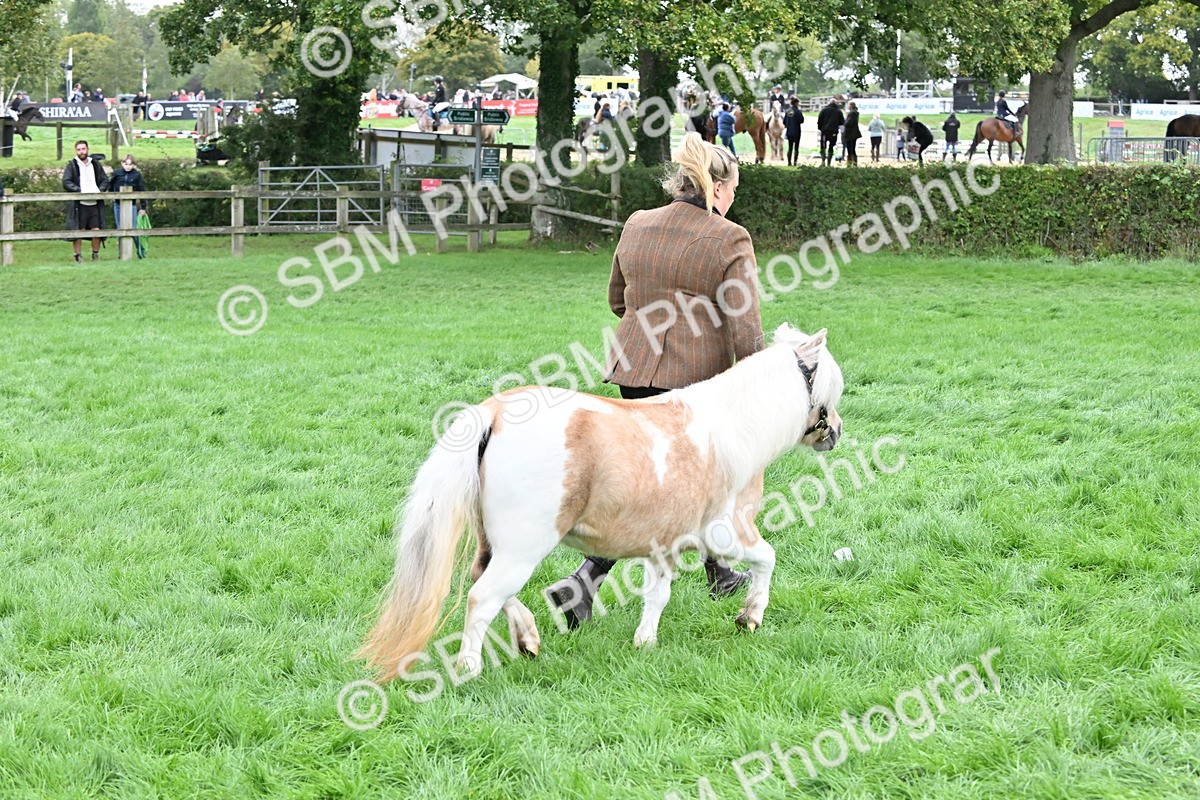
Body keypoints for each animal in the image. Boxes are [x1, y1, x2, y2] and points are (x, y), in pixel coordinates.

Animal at [359, 324, 845, 681]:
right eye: (829, 387)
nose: (836, 431)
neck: (732, 429)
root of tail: (494, 413)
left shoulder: (663, 545)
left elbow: (657, 595)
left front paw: (645, 643)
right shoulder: (726, 532)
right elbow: (767, 558)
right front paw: (750, 617)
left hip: (496, 544)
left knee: (486, 582)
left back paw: (529, 638)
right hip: (522, 549)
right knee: (483, 597)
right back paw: (469, 669)